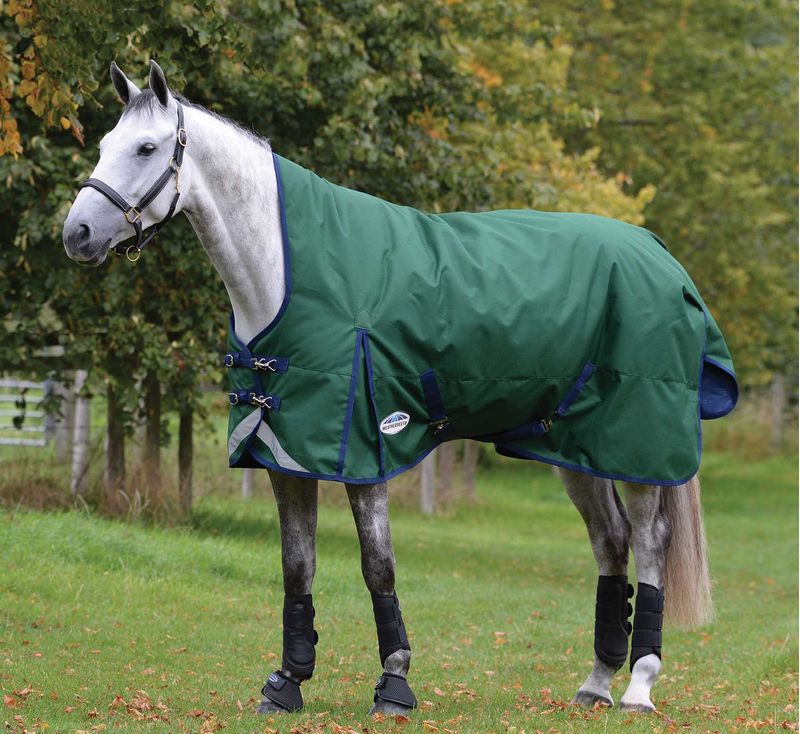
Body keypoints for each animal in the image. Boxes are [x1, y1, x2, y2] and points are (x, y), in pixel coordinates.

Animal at [62, 61, 737, 716]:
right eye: (103, 145)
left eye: (147, 147)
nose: (77, 235)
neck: (286, 274)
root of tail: (658, 253)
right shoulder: (286, 455)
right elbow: (296, 568)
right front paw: (288, 684)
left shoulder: (368, 450)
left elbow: (377, 567)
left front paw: (394, 683)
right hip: (576, 448)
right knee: (610, 542)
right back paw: (595, 684)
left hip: (638, 448)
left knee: (648, 543)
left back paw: (638, 688)